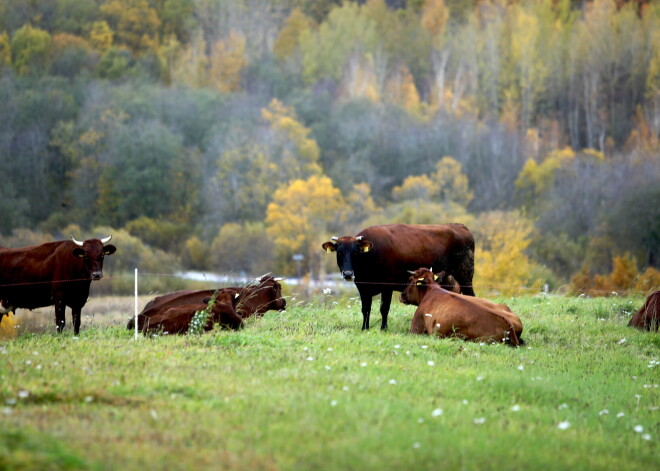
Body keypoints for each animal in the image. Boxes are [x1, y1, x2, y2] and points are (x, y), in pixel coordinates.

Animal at [320, 223, 474, 330]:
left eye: (355, 252)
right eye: (339, 252)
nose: (348, 273)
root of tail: (459, 226)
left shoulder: (387, 286)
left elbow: (384, 309)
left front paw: (383, 328)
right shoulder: (363, 288)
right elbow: (366, 309)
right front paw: (365, 328)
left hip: (465, 277)